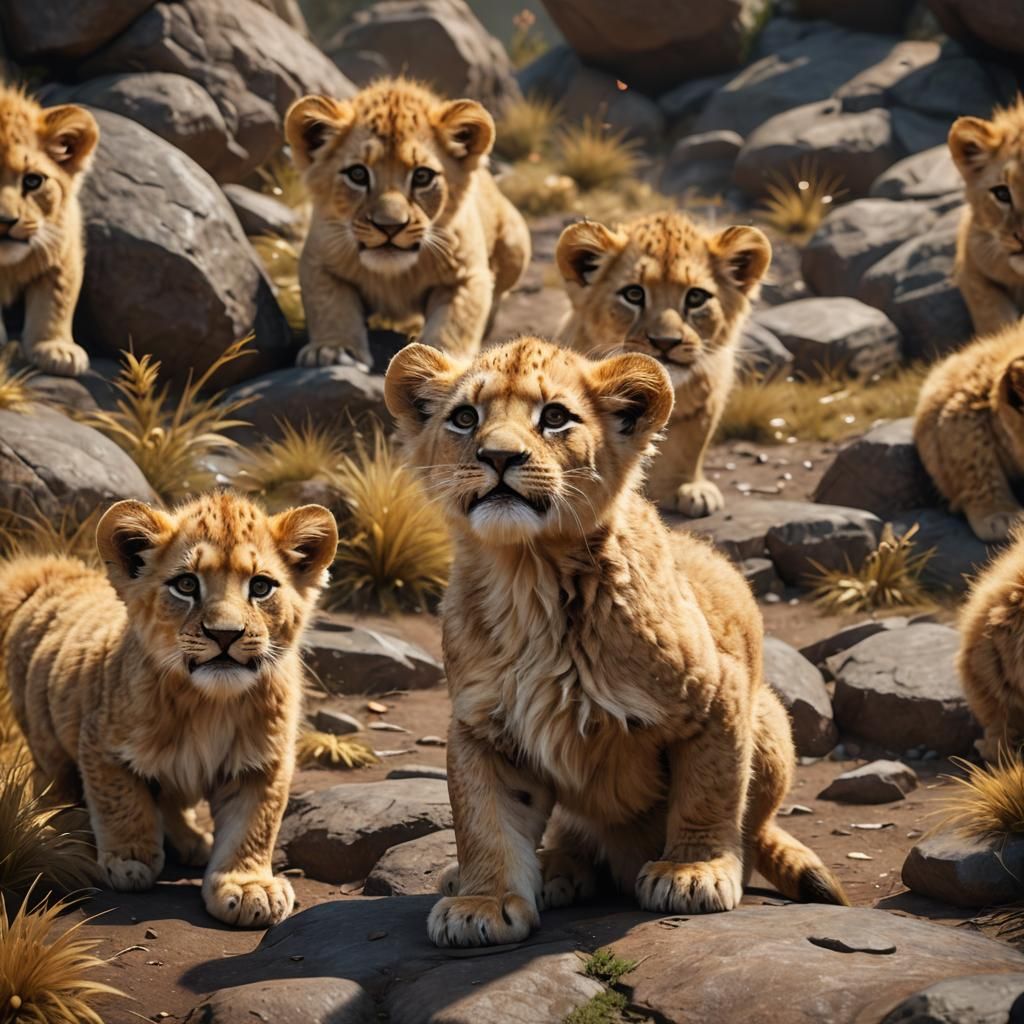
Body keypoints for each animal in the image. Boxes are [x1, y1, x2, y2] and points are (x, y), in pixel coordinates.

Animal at [0, 492, 337, 927]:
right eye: (186, 584)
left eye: (261, 586)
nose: (225, 634)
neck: (210, 704)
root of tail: (51, 574)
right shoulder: (100, 744)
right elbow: (122, 801)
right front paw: (129, 859)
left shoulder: (263, 761)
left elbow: (255, 824)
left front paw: (249, 887)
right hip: (46, 738)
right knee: (51, 786)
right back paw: (70, 830)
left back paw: (192, 842)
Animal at [284, 77, 530, 368]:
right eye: (358, 174)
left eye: (422, 176)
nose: (389, 226)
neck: (395, 276)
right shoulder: (318, 260)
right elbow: (330, 306)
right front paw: (333, 349)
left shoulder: (466, 275)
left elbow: (455, 321)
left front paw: (442, 358)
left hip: (515, 245)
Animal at [384, 336, 847, 948]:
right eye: (465, 418)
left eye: (555, 417)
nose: (498, 457)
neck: (528, 579)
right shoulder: (482, 726)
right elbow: (483, 817)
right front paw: (482, 901)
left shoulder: (718, 695)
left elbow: (710, 788)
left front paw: (691, 871)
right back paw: (545, 870)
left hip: (769, 714)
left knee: (752, 830)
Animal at [554, 211, 771, 517]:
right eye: (633, 294)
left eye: (696, 297)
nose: (665, 342)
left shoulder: (707, 401)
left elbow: (691, 446)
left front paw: (689, 489)